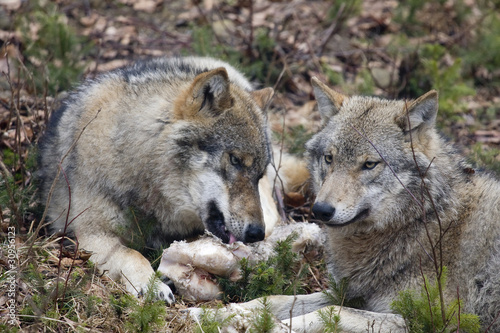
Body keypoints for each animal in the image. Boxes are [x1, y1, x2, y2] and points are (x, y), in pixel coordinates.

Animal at [37, 55, 276, 302]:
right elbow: (132, 254)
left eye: (258, 174)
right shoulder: (90, 234)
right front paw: (151, 285)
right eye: (235, 160)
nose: (256, 233)